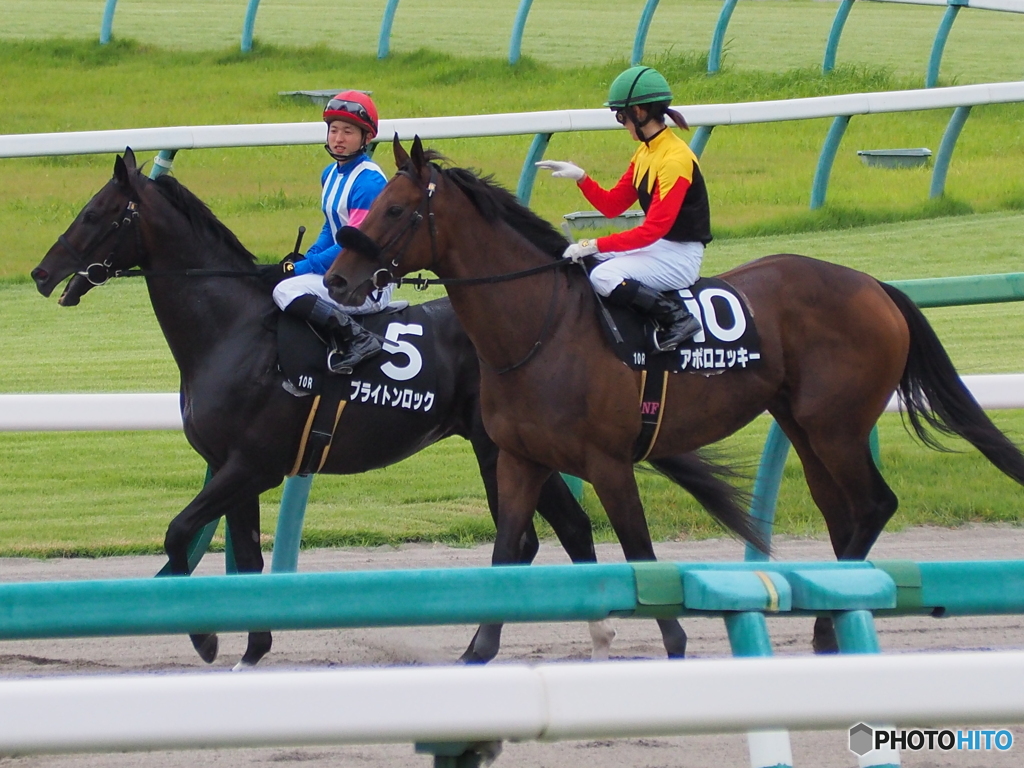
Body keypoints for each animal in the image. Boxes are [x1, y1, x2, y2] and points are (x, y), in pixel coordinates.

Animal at [323, 138, 1024, 663]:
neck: (539, 327)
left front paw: (677, 640)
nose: (336, 280)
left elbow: (639, 553)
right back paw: (833, 619)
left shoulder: (607, 462)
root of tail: (875, 286)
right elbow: (505, 552)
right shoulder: (520, 458)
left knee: (875, 503)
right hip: (804, 424)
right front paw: (477, 650)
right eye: (372, 203)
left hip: (837, 425)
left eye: (394, 209)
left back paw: (830, 621)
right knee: (845, 511)